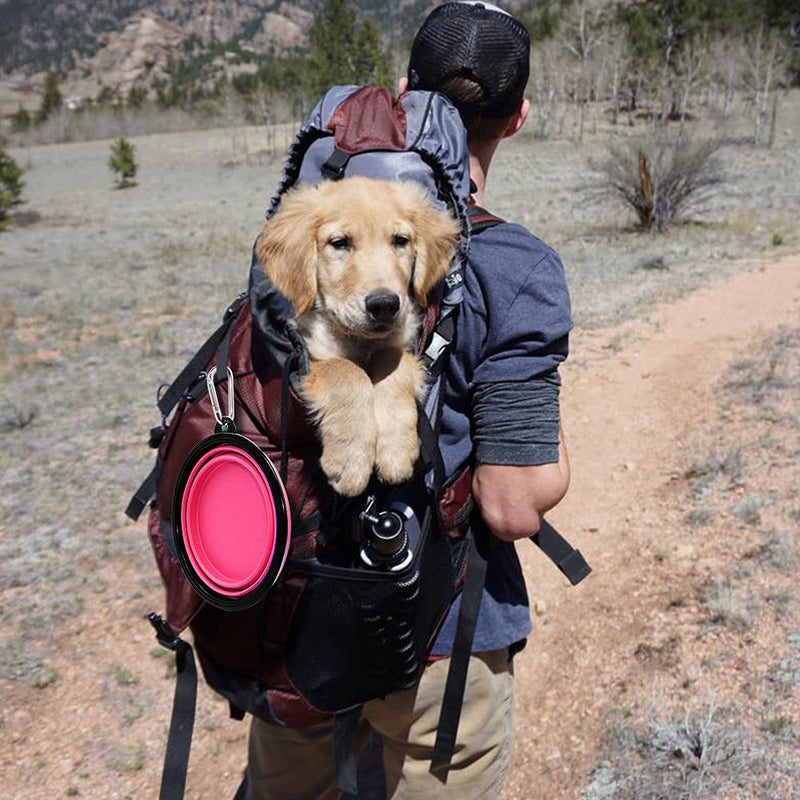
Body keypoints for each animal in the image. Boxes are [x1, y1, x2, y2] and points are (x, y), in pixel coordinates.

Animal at [256, 178, 456, 496]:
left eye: (400, 240)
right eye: (340, 243)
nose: (384, 304)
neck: (361, 341)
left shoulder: (400, 342)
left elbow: (392, 362)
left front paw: (395, 450)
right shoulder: (309, 353)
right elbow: (346, 371)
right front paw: (351, 460)